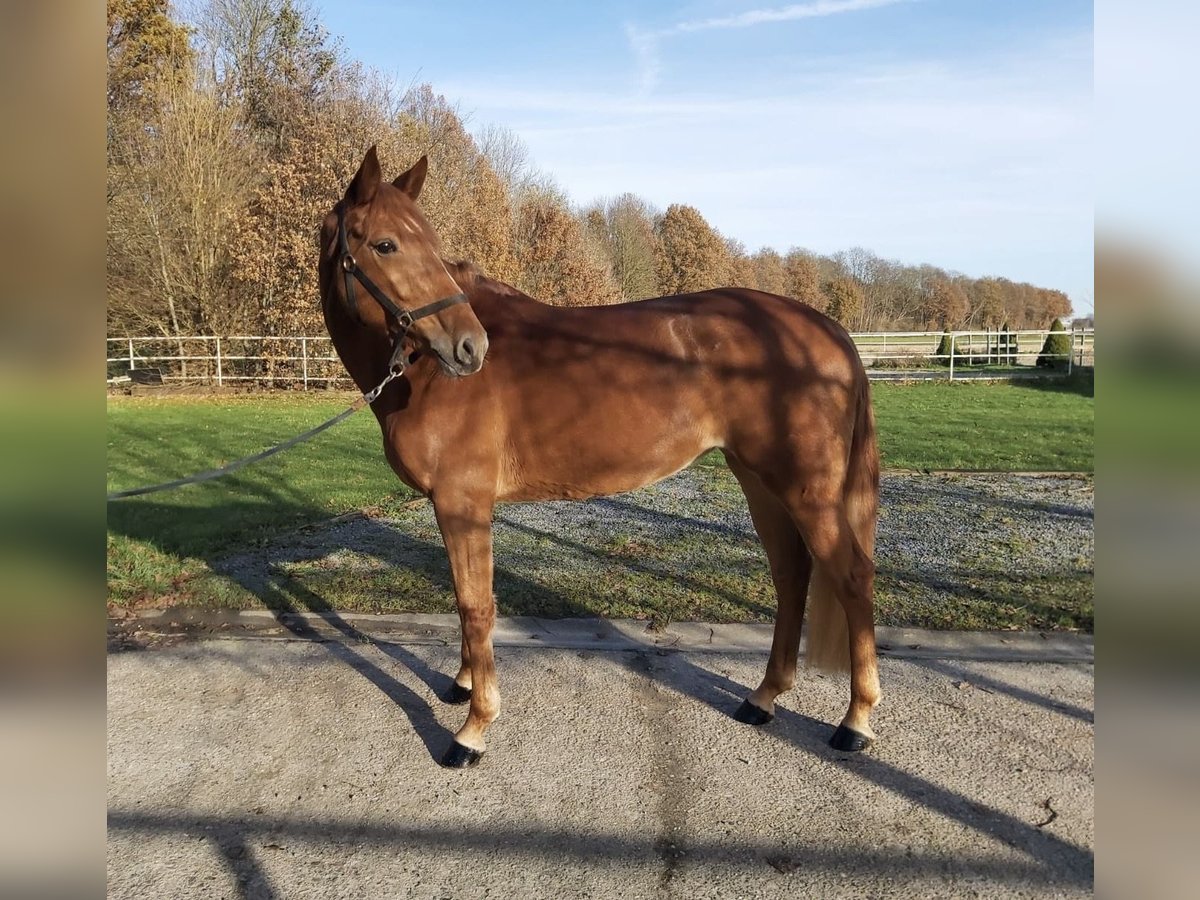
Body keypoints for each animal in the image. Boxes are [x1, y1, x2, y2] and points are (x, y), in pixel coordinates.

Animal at [319, 146, 883, 768]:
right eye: (386, 244)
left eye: (426, 243)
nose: (470, 347)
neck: (421, 377)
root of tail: (827, 329)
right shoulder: (456, 506)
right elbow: (467, 599)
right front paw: (462, 684)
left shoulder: (462, 500)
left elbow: (475, 604)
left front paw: (472, 728)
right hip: (761, 481)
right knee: (791, 575)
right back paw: (763, 698)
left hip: (808, 490)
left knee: (851, 576)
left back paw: (855, 721)